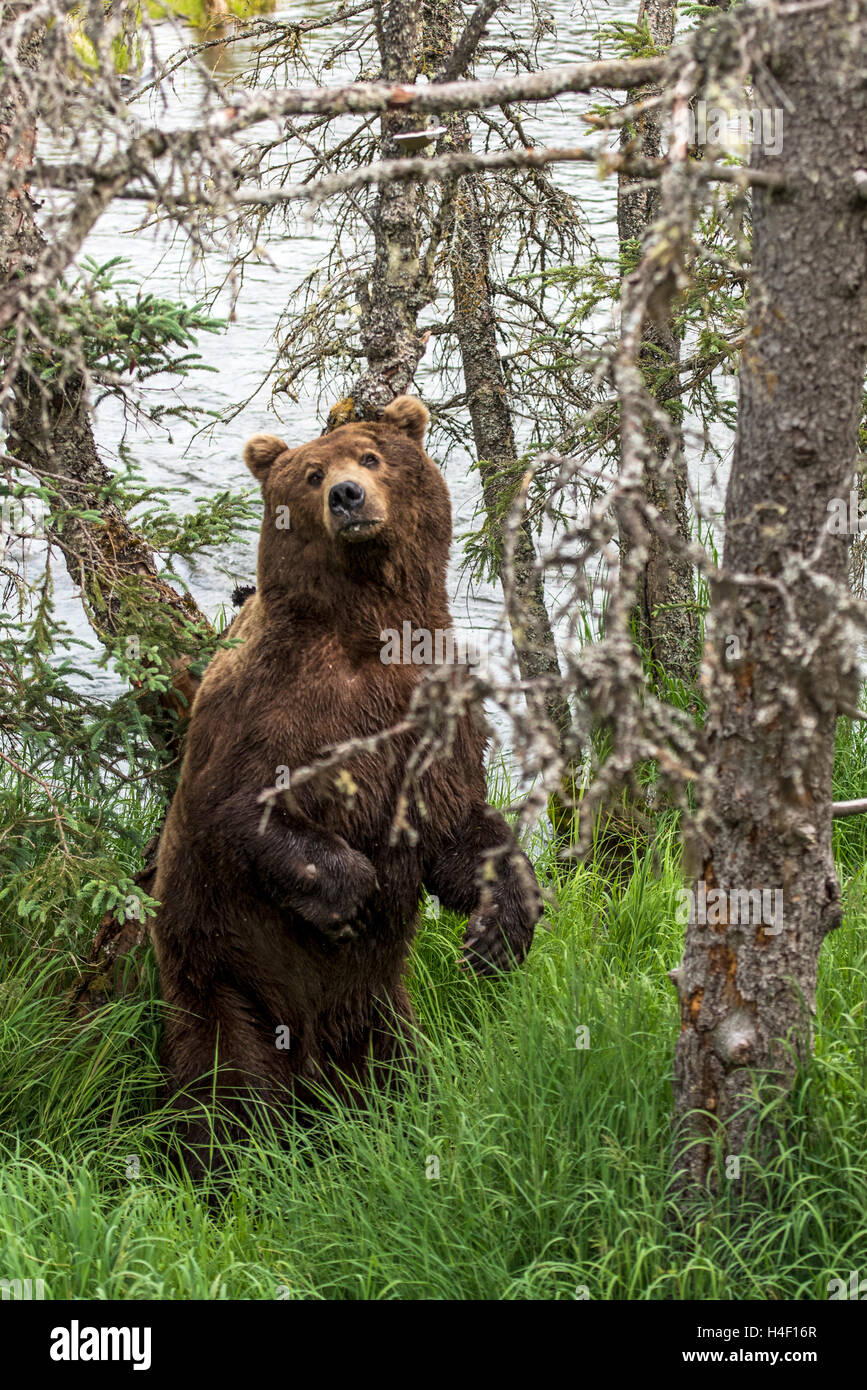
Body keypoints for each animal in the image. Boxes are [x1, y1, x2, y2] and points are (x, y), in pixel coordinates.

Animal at [151, 395, 542, 1172]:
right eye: (310, 474)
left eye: (369, 455)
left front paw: (498, 928)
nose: (347, 496)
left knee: (397, 1069)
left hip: (380, 1008)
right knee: (225, 1089)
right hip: (221, 978)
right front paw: (348, 894)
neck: (367, 632)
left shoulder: (433, 702)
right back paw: (226, 1165)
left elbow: (459, 822)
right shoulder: (268, 708)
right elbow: (238, 808)